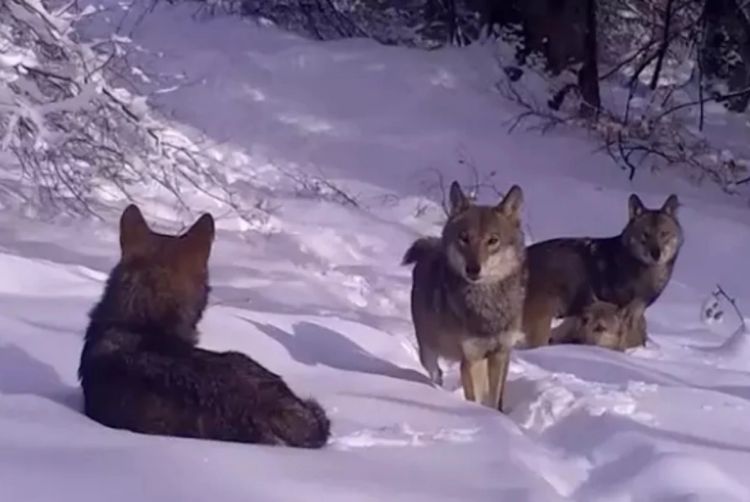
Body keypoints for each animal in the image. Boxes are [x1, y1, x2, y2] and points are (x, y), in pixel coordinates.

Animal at [402, 180, 524, 412]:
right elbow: (474, 398)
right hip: (428, 351)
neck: (486, 306)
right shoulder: (470, 360)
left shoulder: (500, 355)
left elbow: (493, 401)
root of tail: (432, 247)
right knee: (436, 372)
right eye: (464, 238)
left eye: (493, 240)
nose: (473, 269)